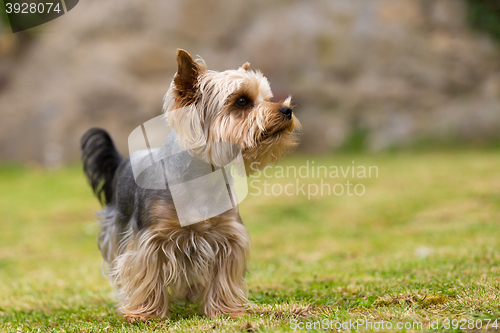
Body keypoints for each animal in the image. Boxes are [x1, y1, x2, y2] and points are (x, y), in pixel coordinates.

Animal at [81, 48, 298, 320]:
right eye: (241, 101)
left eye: (267, 98)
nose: (287, 110)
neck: (203, 178)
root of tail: (123, 160)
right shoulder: (150, 239)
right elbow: (145, 273)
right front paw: (145, 313)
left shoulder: (227, 235)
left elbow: (223, 275)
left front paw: (226, 309)